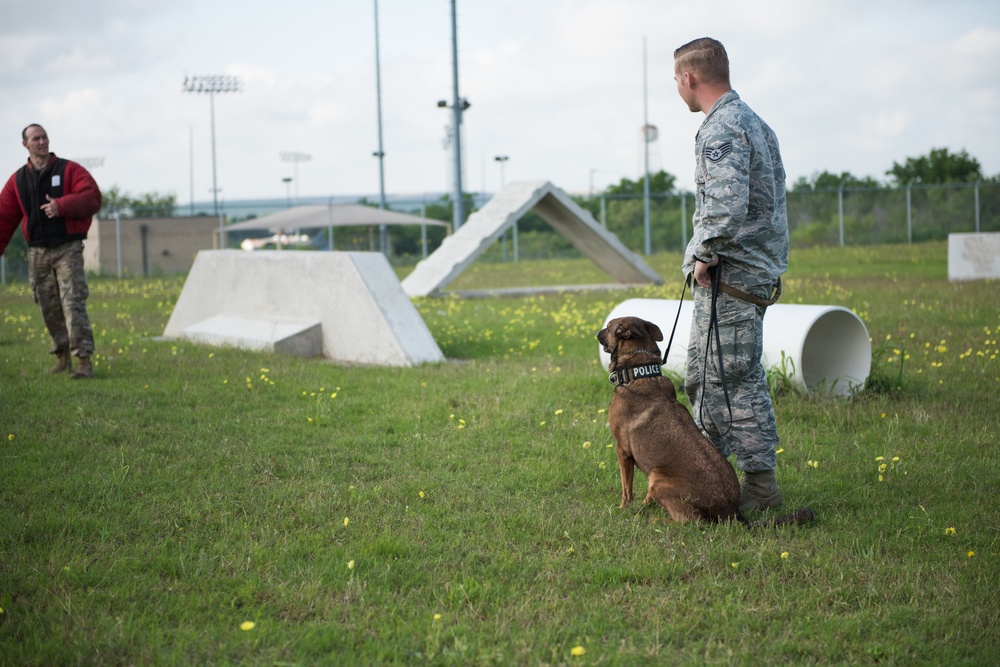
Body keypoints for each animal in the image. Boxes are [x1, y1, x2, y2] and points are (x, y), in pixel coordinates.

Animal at [592, 316, 812, 528]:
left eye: (609, 326)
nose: (596, 334)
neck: (640, 370)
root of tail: (731, 511)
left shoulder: (622, 451)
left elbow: (626, 489)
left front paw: (624, 509)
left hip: (657, 478)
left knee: (692, 521)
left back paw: (655, 521)